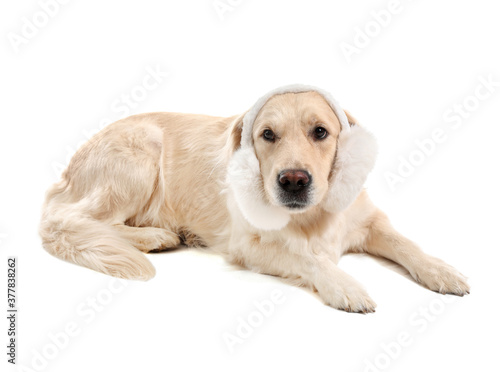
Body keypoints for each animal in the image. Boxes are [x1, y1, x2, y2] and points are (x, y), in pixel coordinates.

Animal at [39, 84, 468, 310]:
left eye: (320, 132)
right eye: (267, 135)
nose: (293, 181)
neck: (312, 214)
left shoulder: (367, 221)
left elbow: (406, 243)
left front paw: (442, 270)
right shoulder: (251, 244)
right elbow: (308, 256)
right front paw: (345, 286)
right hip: (141, 150)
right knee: (72, 220)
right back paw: (156, 236)